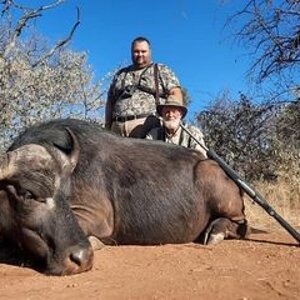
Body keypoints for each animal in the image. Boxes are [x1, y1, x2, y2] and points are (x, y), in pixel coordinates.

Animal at [0, 118, 248, 276]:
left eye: (64, 195)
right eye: (27, 194)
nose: (82, 258)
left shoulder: (98, 218)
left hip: (217, 185)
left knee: (241, 224)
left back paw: (216, 232)